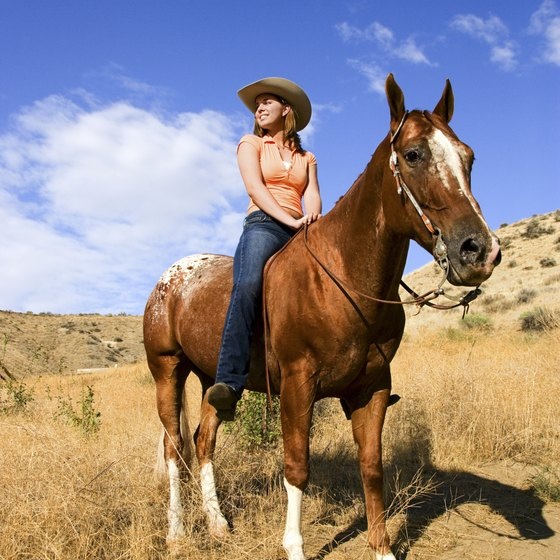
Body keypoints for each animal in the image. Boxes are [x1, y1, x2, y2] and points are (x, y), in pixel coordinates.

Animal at [142, 75, 500, 560]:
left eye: (469, 157)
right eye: (413, 155)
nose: (479, 251)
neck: (342, 278)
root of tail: (169, 279)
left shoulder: (372, 388)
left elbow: (372, 467)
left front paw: (382, 549)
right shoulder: (298, 384)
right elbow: (297, 466)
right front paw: (294, 546)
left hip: (211, 379)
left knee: (204, 440)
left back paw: (217, 525)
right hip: (168, 370)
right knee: (174, 447)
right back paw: (177, 533)